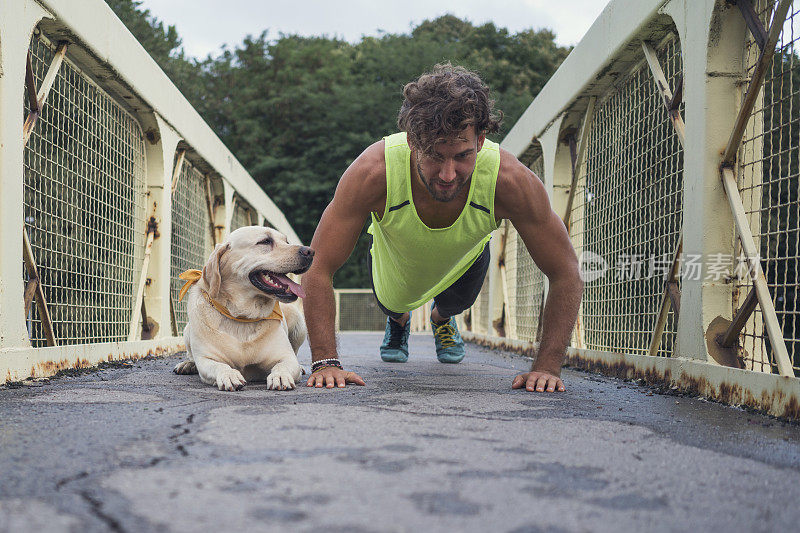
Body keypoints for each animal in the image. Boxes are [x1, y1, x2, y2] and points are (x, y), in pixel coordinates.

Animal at [173, 225, 314, 390]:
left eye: (286, 241)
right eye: (265, 241)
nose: (310, 251)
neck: (243, 315)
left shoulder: (285, 356)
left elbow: (283, 365)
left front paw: (280, 376)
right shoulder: (207, 360)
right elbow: (220, 366)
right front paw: (229, 375)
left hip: (299, 325)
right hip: (187, 330)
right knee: (191, 354)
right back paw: (188, 364)